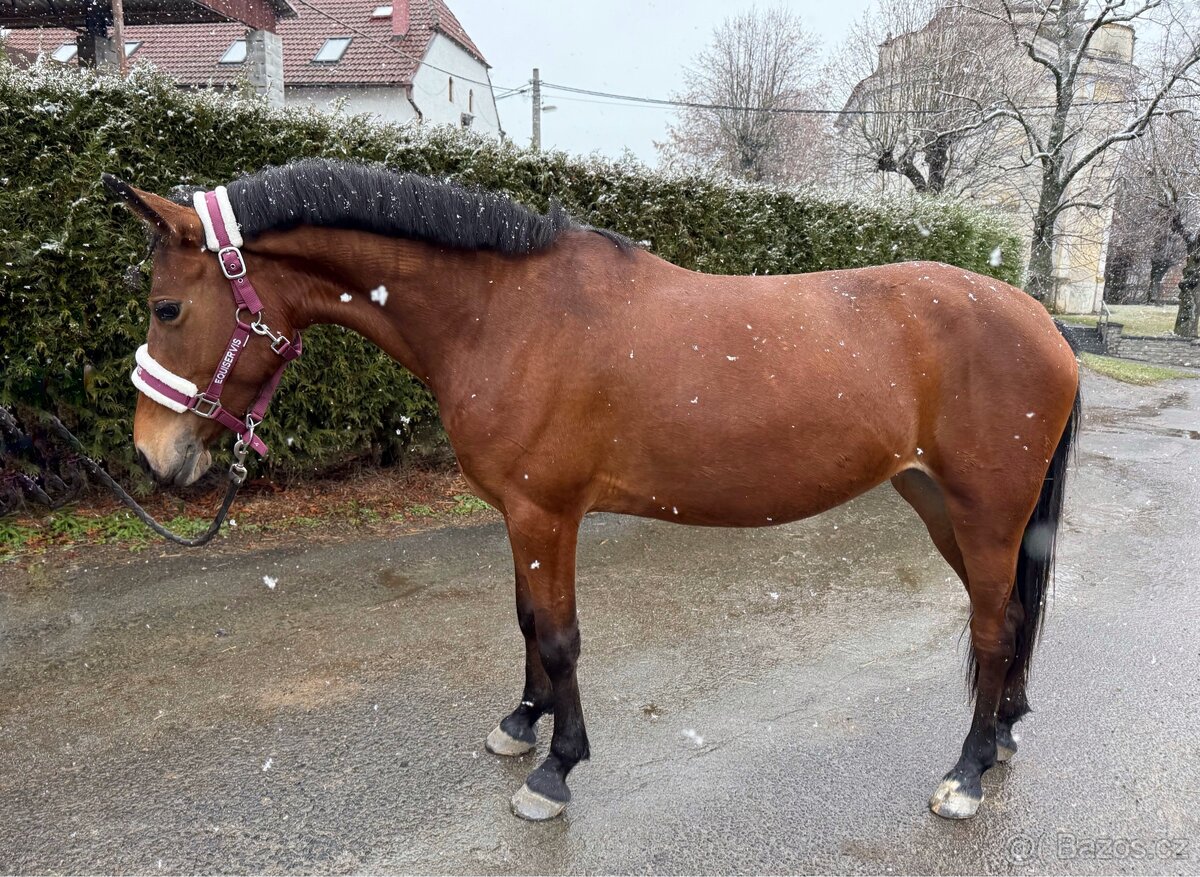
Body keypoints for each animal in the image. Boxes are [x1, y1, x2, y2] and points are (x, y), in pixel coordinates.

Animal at [103, 159, 1080, 823]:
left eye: (166, 308)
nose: (155, 456)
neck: (505, 313)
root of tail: (1045, 320)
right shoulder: (519, 514)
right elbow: (528, 620)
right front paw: (521, 721)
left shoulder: (548, 512)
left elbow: (562, 637)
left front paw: (554, 770)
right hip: (941, 506)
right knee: (1012, 620)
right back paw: (998, 739)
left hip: (985, 516)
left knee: (994, 632)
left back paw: (963, 774)